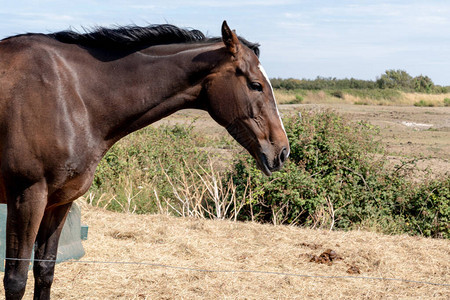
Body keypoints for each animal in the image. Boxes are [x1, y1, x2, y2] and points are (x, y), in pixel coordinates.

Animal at [0, 20, 288, 298]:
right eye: (255, 85)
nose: (282, 151)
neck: (71, 94)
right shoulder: (27, 198)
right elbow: (16, 282)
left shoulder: (60, 202)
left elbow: (45, 271)